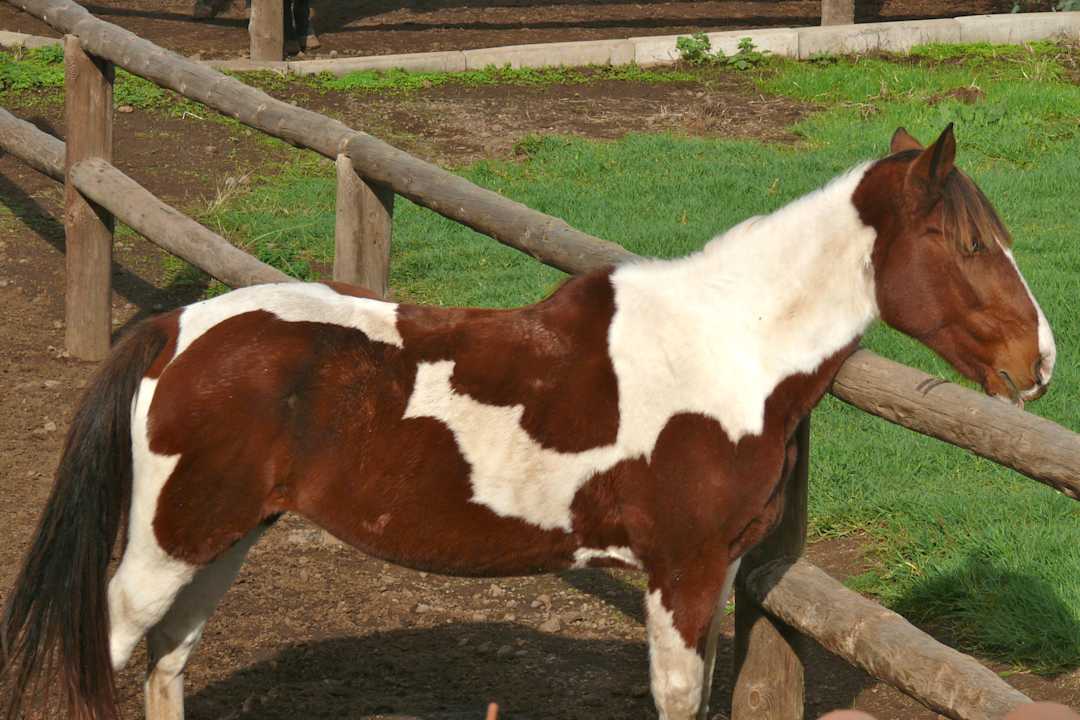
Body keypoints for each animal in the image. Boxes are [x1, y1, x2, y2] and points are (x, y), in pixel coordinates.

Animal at [0, 124, 1056, 720]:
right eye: (967, 243)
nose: (1039, 362)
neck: (726, 347)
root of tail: (177, 329)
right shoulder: (681, 573)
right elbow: (677, 698)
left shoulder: (711, 578)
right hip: (164, 549)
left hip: (223, 539)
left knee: (168, 665)